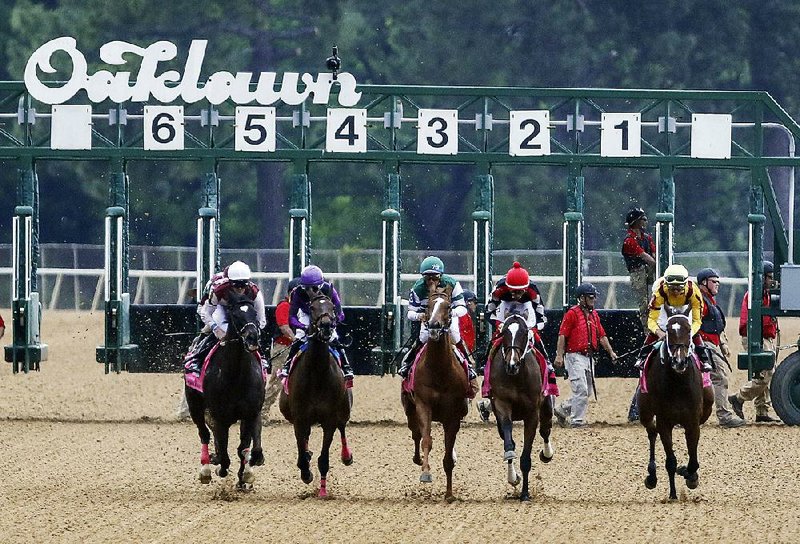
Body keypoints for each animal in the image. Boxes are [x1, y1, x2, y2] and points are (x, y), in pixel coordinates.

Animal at [185, 292, 266, 490]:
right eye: (235, 315)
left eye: (255, 313)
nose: (252, 338)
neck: (236, 376)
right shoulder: (220, 416)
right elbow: (224, 454)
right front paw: (218, 467)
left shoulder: (250, 412)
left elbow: (245, 447)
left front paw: (245, 476)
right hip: (194, 405)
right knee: (204, 434)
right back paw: (206, 470)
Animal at [280, 294, 352, 498]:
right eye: (312, 308)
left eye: (333, 307)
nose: (326, 325)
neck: (318, 374)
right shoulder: (299, 419)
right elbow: (302, 453)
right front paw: (306, 474)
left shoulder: (329, 420)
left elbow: (324, 459)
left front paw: (322, 491)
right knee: (305, 441)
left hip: (344, 410)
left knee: (342, 427)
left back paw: (347, 456)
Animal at [400, 280, 468, 502]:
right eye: (429, 305)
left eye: (447, 307)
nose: (434, 326)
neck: (439, 370)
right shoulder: (423, 405)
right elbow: (426, 440)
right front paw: (426, 473)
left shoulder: (452, 415)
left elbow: (448, 454)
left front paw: (449, 494)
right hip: (410, 409)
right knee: (416, 434)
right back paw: (418, 459)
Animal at [484, 314, 552, 502]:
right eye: (504, 333)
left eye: (524, 333)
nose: (511, 364)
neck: (517, 377)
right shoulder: (501, 403)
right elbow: (509, 438)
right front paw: (513, 474)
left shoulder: (532, 413)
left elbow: (526, 458)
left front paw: (525, 494)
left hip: (546, 406)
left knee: (545, 430)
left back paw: (547, 454)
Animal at [640, 304, 716, 500]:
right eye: (668, 330)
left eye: (688, 329)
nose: (679, 361)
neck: (678, 383)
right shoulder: (664, 421)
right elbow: (670, 461)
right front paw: (673, 493)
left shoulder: (692, 422)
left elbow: (693, 460)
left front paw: (690, 475)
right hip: (645, 411)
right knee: (651, 432)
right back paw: (651, 476)